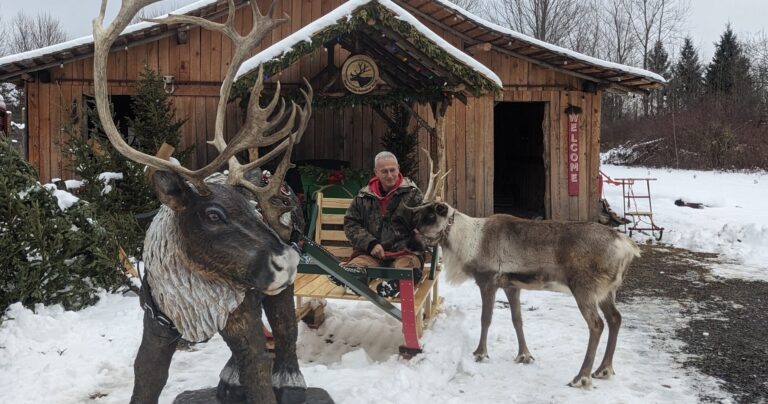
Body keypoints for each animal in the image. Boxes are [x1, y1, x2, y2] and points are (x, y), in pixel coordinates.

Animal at [92, 1, 313, 403]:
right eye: (213, 215)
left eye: (250, 206)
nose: (286, 260)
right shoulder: (157, 323)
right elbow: (146, 376)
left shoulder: (240, 311)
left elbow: (259, 367)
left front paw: (271, 380)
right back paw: (229, 376)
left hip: (278, 287)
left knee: (285, 326)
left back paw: (290, 377)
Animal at [410, 161, 640, 389]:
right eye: (420, 212)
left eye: (431, 214)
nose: (413, 230)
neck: (468, 242)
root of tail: (627, 247)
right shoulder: (511, 285)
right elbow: (517, 319)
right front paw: (524, 355)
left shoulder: (488, 280)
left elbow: (486, 319)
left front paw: (480, 353)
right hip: (607, 292)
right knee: (615, 318)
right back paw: (603, 369)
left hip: (585, 289)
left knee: (597, 324)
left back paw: (582, 376)